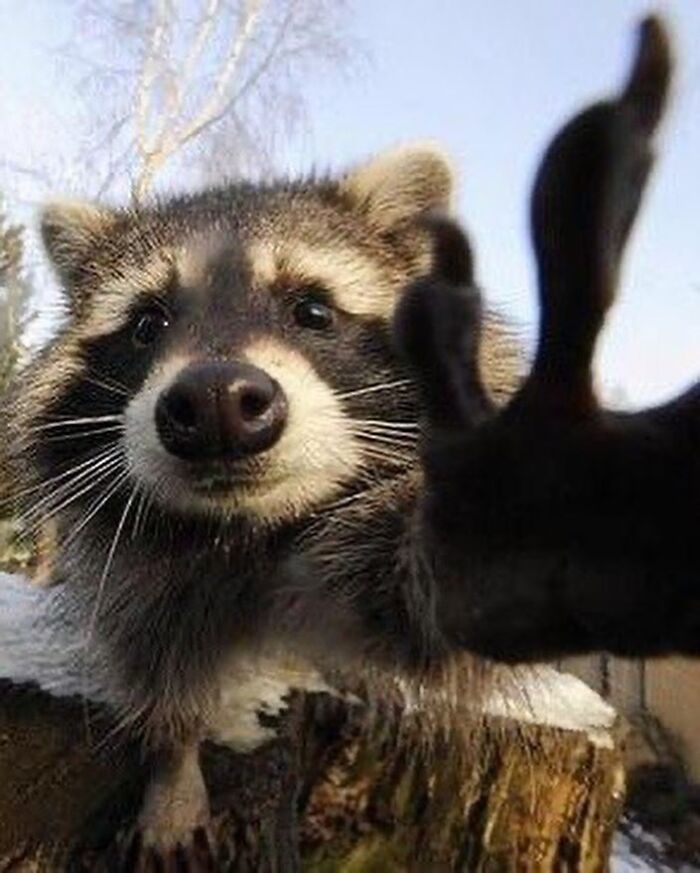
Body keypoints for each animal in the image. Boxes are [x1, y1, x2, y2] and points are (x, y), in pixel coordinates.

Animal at [4, 144, 516, 859]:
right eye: (147, 324)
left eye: (313, 311)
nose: (215, 403)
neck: (249, 527)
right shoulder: (131, 572)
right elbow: (153, 654)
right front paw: (173, 763)